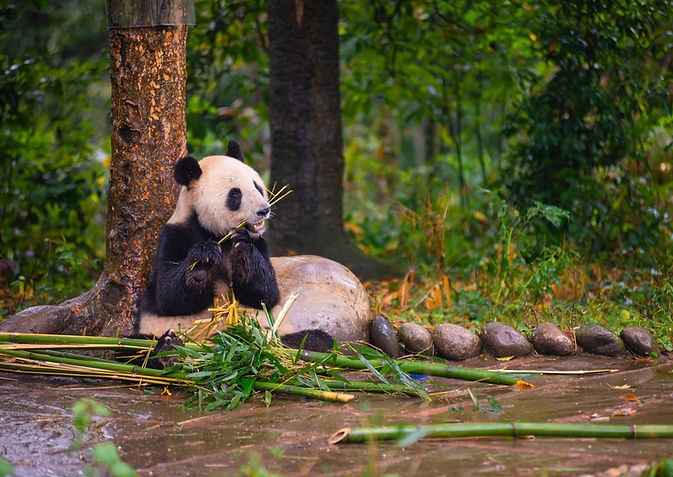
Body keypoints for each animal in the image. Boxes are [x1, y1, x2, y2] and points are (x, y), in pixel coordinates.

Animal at [137, 139, 281, 338]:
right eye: (235, 194)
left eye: (257, 187)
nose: (264, 210)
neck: (214, 232)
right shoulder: (174, 234)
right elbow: (167, 296)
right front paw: (203, 261)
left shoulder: (260, 242)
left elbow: (266, 294)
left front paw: (242, 250)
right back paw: (169, 341)